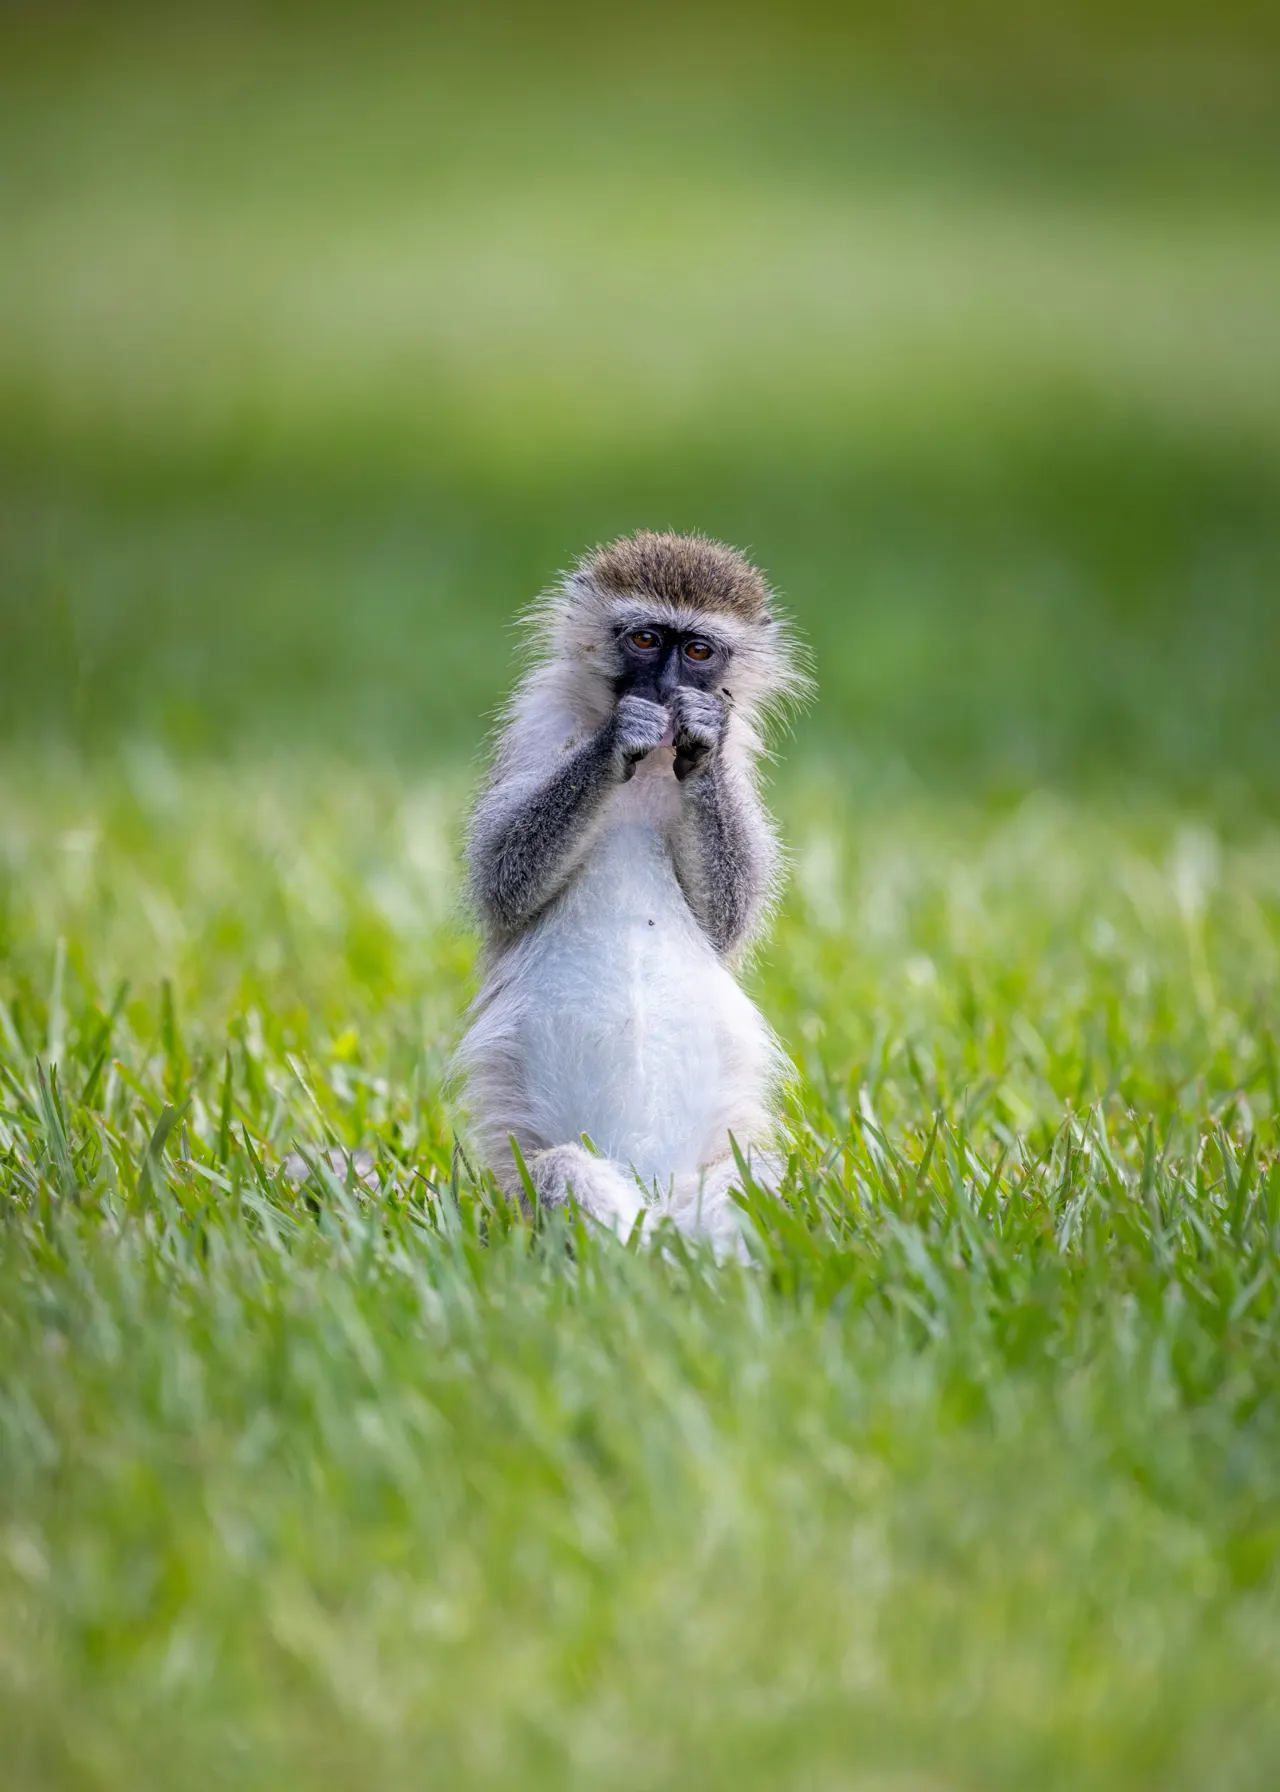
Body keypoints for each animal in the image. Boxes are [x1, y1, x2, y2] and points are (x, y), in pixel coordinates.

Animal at [455, 531, 808, 1252]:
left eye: (698, 650)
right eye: (646, 639)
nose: (667, 688)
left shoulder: (740, 750)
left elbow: (726, 920)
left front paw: (700, 735)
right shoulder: (538, 721)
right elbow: (502, 881)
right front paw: (618, 736)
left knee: (746, 1185)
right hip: (555, 1177)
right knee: (565, 1172)